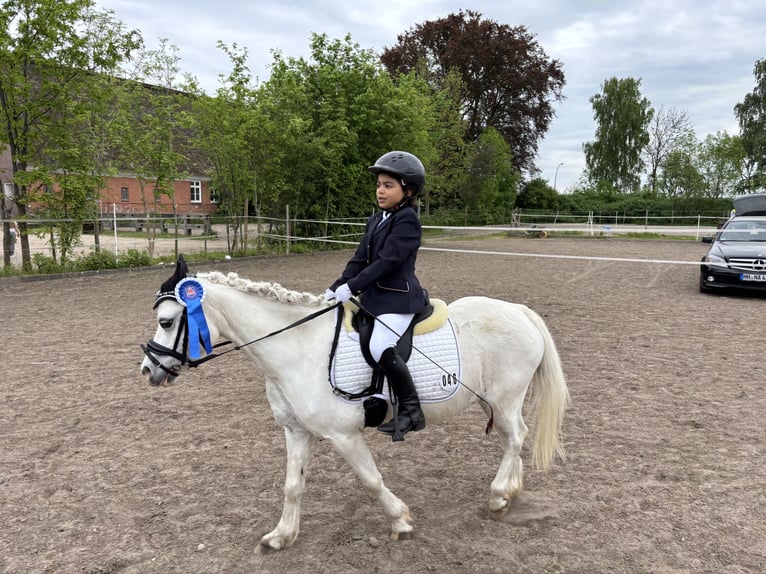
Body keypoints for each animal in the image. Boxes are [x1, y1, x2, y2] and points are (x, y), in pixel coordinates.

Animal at [141, 258, 568, 552]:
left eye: (166, 322)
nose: (148, 370)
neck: (296, 348)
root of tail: (520, 311)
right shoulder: (296, 430)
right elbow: (292, 485)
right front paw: (281, 536)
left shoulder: (343, 434)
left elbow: (371, 479)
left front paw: (400, 521)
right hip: (492, 401)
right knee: (513, 439)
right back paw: (511, 491)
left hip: (506, 397)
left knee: (516, 438)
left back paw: (497, 497)